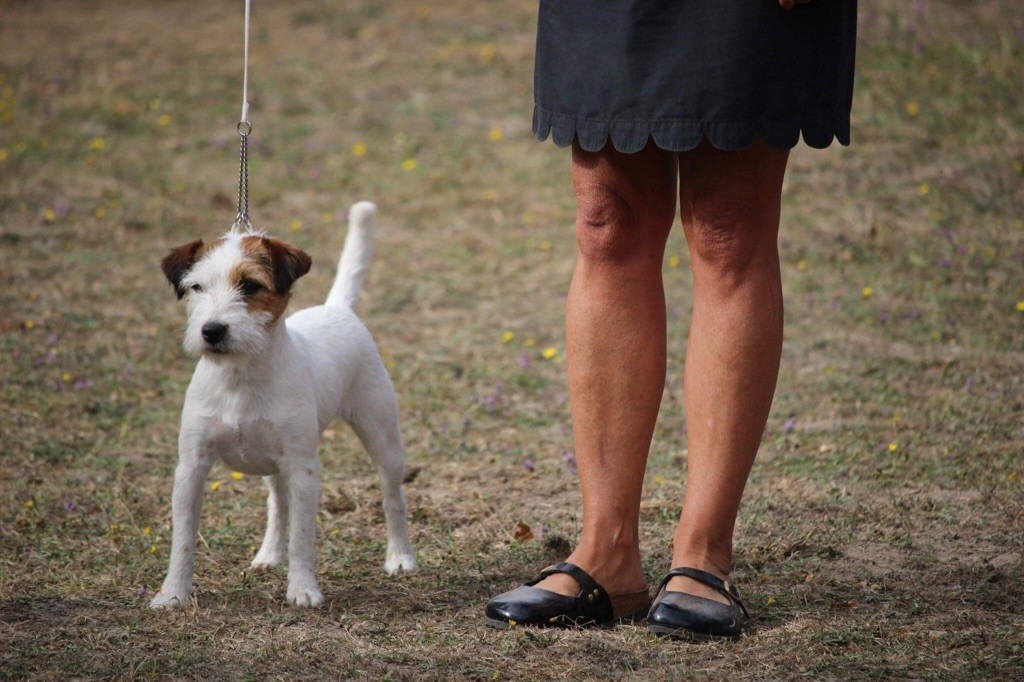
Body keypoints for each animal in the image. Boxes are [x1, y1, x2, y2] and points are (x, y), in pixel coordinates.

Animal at [147, 200, 415, 606]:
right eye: (196, 287)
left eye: (250, 285)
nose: (212, 331)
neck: (240, 378)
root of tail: (338, 309)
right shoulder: (191, 468)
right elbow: (183, 541)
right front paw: (172, 595)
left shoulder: (303, 469)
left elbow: (302, 539)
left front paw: (303, 589)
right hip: (272, 462)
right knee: (278, 505)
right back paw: (269, 554)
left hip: (381, 437)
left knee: (392, 497)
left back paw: (400, 556)